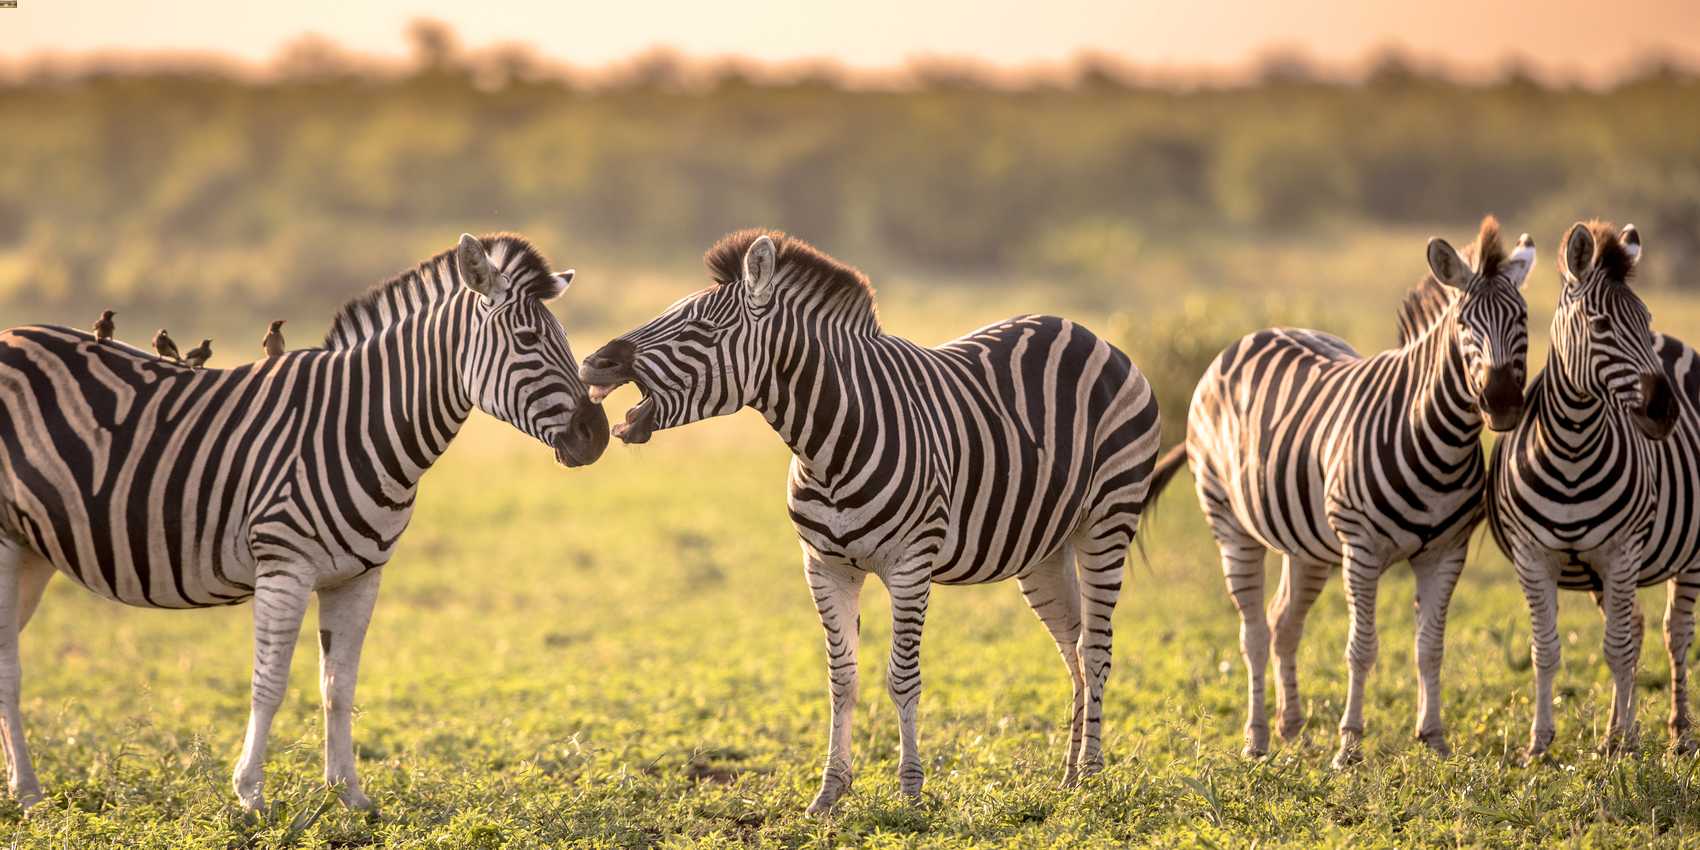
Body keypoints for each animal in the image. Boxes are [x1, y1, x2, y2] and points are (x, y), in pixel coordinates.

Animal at [0, 233, 608, 811]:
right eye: (527, 340)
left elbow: (339, 686)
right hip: (6, 542)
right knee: (8, 668)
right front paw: (250, 794)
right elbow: (268, 685)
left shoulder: (359, 578)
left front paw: (349, 793)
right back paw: (29, 795)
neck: (360, 425)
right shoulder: (284, 568)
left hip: (34, 549)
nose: (598, 436)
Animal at [579, 230, 1162, 812]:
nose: (592, 364)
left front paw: (910, 790)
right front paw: (829, 792)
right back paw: (1068, 777)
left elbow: (902, 678)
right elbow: (842, 679)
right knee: (1073, 650)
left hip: (1108, 519)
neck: (828, 446)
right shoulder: (825, 567)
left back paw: (1091, 775)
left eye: (699, 331)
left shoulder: (910, 566)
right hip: (1044, 548)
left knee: (1097, 649)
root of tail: (1084, 331)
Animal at [1145, 217, 1534, 766]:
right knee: (1254, 633)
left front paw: (1434, 740)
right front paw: (1348, 747)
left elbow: (1430, 647)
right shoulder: (1362, 549)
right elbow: (1362, 647)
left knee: (1283, 623)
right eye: (1464, 324)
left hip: (1306, 544)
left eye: (1523, 318)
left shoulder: (1445, 551)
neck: (1438, 434)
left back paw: (1292, 730)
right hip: (1229, 521)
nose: (1501, 403)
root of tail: (1251, 336)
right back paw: (1256, 740)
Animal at [1486, 221, 1696, 759]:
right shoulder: (1533, 556)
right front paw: (1539, 744)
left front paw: (1628, 746)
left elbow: (1616, 650)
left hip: (1687, 556)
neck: (1572, 448)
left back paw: (1677, 733)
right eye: (1600, 325)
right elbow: (1546, 649)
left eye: (1645, 318)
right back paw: (1617, 732)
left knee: (1675, 635)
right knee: (1637, 628)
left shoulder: (1620, 552)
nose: (1664, 412)